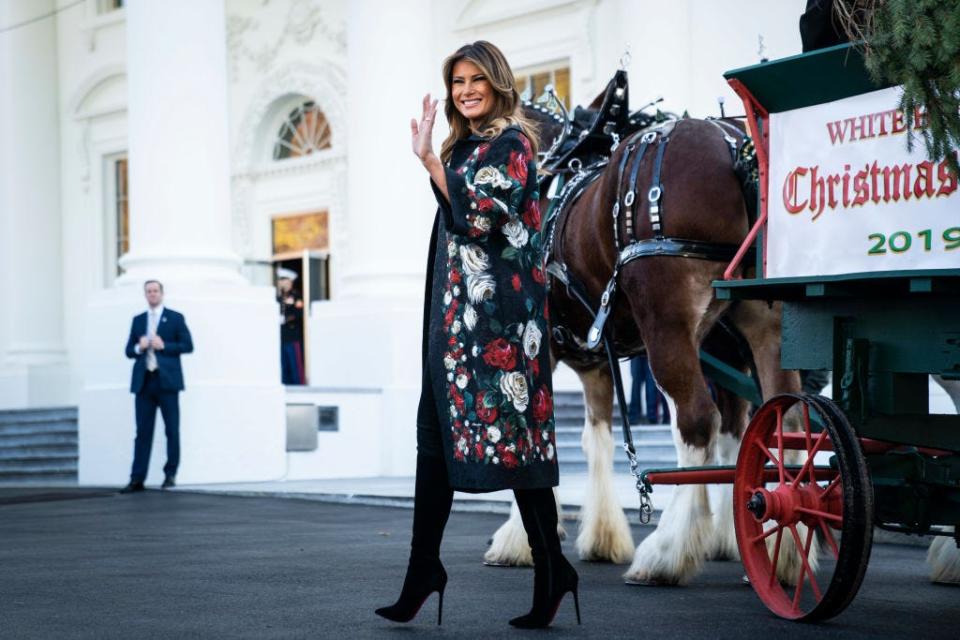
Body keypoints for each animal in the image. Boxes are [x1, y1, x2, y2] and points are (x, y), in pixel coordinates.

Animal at [484, 102, 812, 588]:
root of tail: (739, 150)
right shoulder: (597, 363)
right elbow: (595, 440)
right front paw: (602, 535)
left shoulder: (537, 348)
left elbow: (536, 436)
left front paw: (518, 539)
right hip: (759, 326)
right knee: (778, 420)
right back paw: (780, 549)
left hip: (668, 323)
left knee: (698, 422)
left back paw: (667, 552)